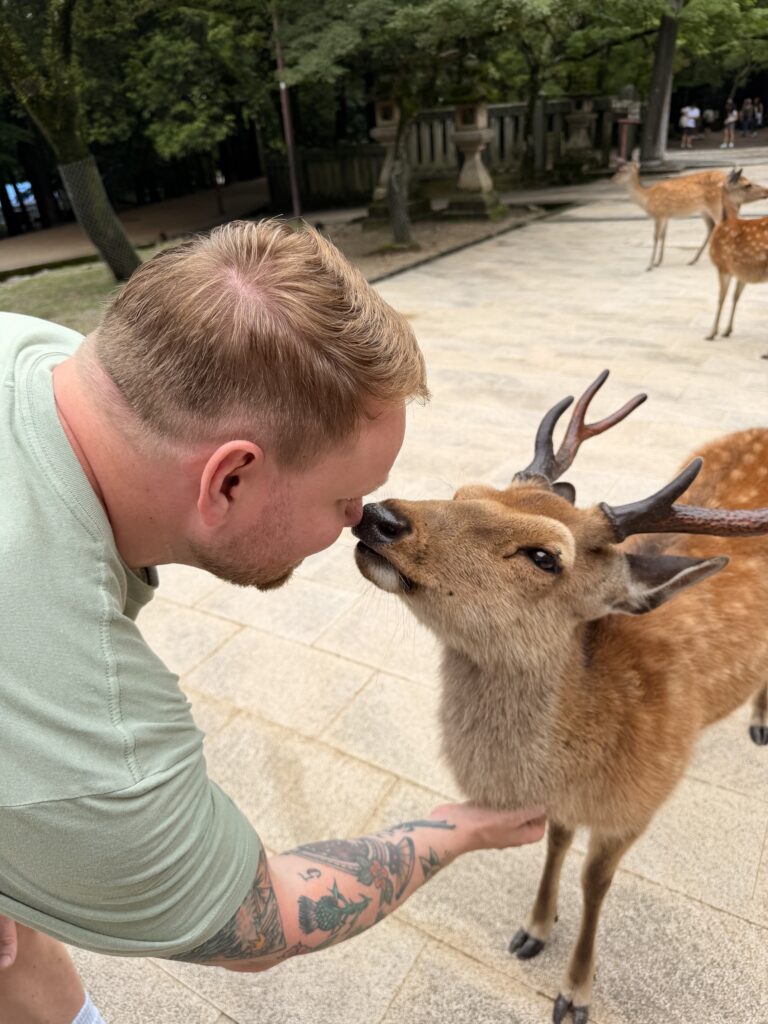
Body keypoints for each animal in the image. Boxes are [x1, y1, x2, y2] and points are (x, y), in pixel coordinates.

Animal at [352, 371, 768, 1024]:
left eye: (544, 556)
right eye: (467, 490)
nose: (382, 515)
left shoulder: (639, 803)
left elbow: (595, 883)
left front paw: (574, 993)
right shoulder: (564, 806)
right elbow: (556, 839)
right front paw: (533, 929)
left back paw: (759, 723)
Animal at [612, 161, 768, 271]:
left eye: (622, 170)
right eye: (618, 168)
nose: (613, 179)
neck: (646, 198)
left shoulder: (659, 214)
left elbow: (656, 237)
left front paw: (649, 265)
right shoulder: (666, 216)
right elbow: (663, 236)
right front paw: (658, 262)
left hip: (715, 206)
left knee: (722, 226)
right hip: (706, 210)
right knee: (713, 227)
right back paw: (694, 260)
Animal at [707, 167, 768, 353]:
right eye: (747, 184)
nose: (767, 191)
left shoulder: (722, 265)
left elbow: (721, 298)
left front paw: (712, 333)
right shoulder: (742, 271)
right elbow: (735, 296)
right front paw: (727, 330)